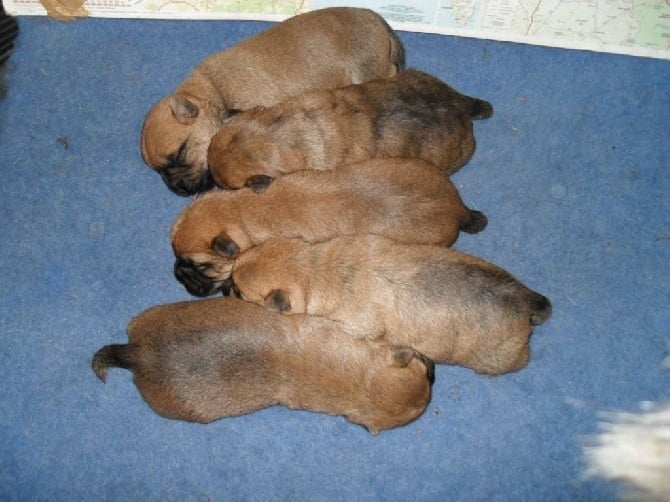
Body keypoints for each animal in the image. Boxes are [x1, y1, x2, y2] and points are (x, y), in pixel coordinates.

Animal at [234, 236, 552, 376]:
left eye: (238, 291)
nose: (226, 288)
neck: (315, 268)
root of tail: (524, 300)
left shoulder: (358, 327)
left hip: (495, 359)